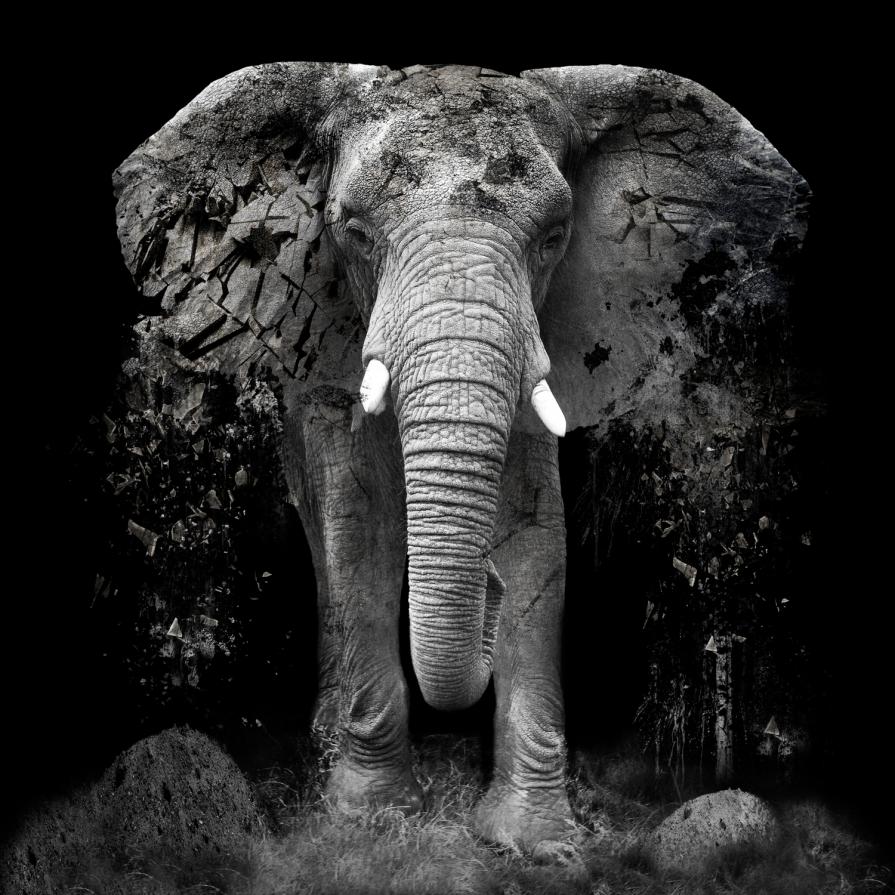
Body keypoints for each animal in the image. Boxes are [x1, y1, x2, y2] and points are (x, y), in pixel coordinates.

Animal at [113, 62, 808, 853]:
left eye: (553, 237)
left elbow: (537, 541)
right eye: (353, 232)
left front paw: (534, 841)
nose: (486, 587)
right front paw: (372, 817)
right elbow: (361, 533)